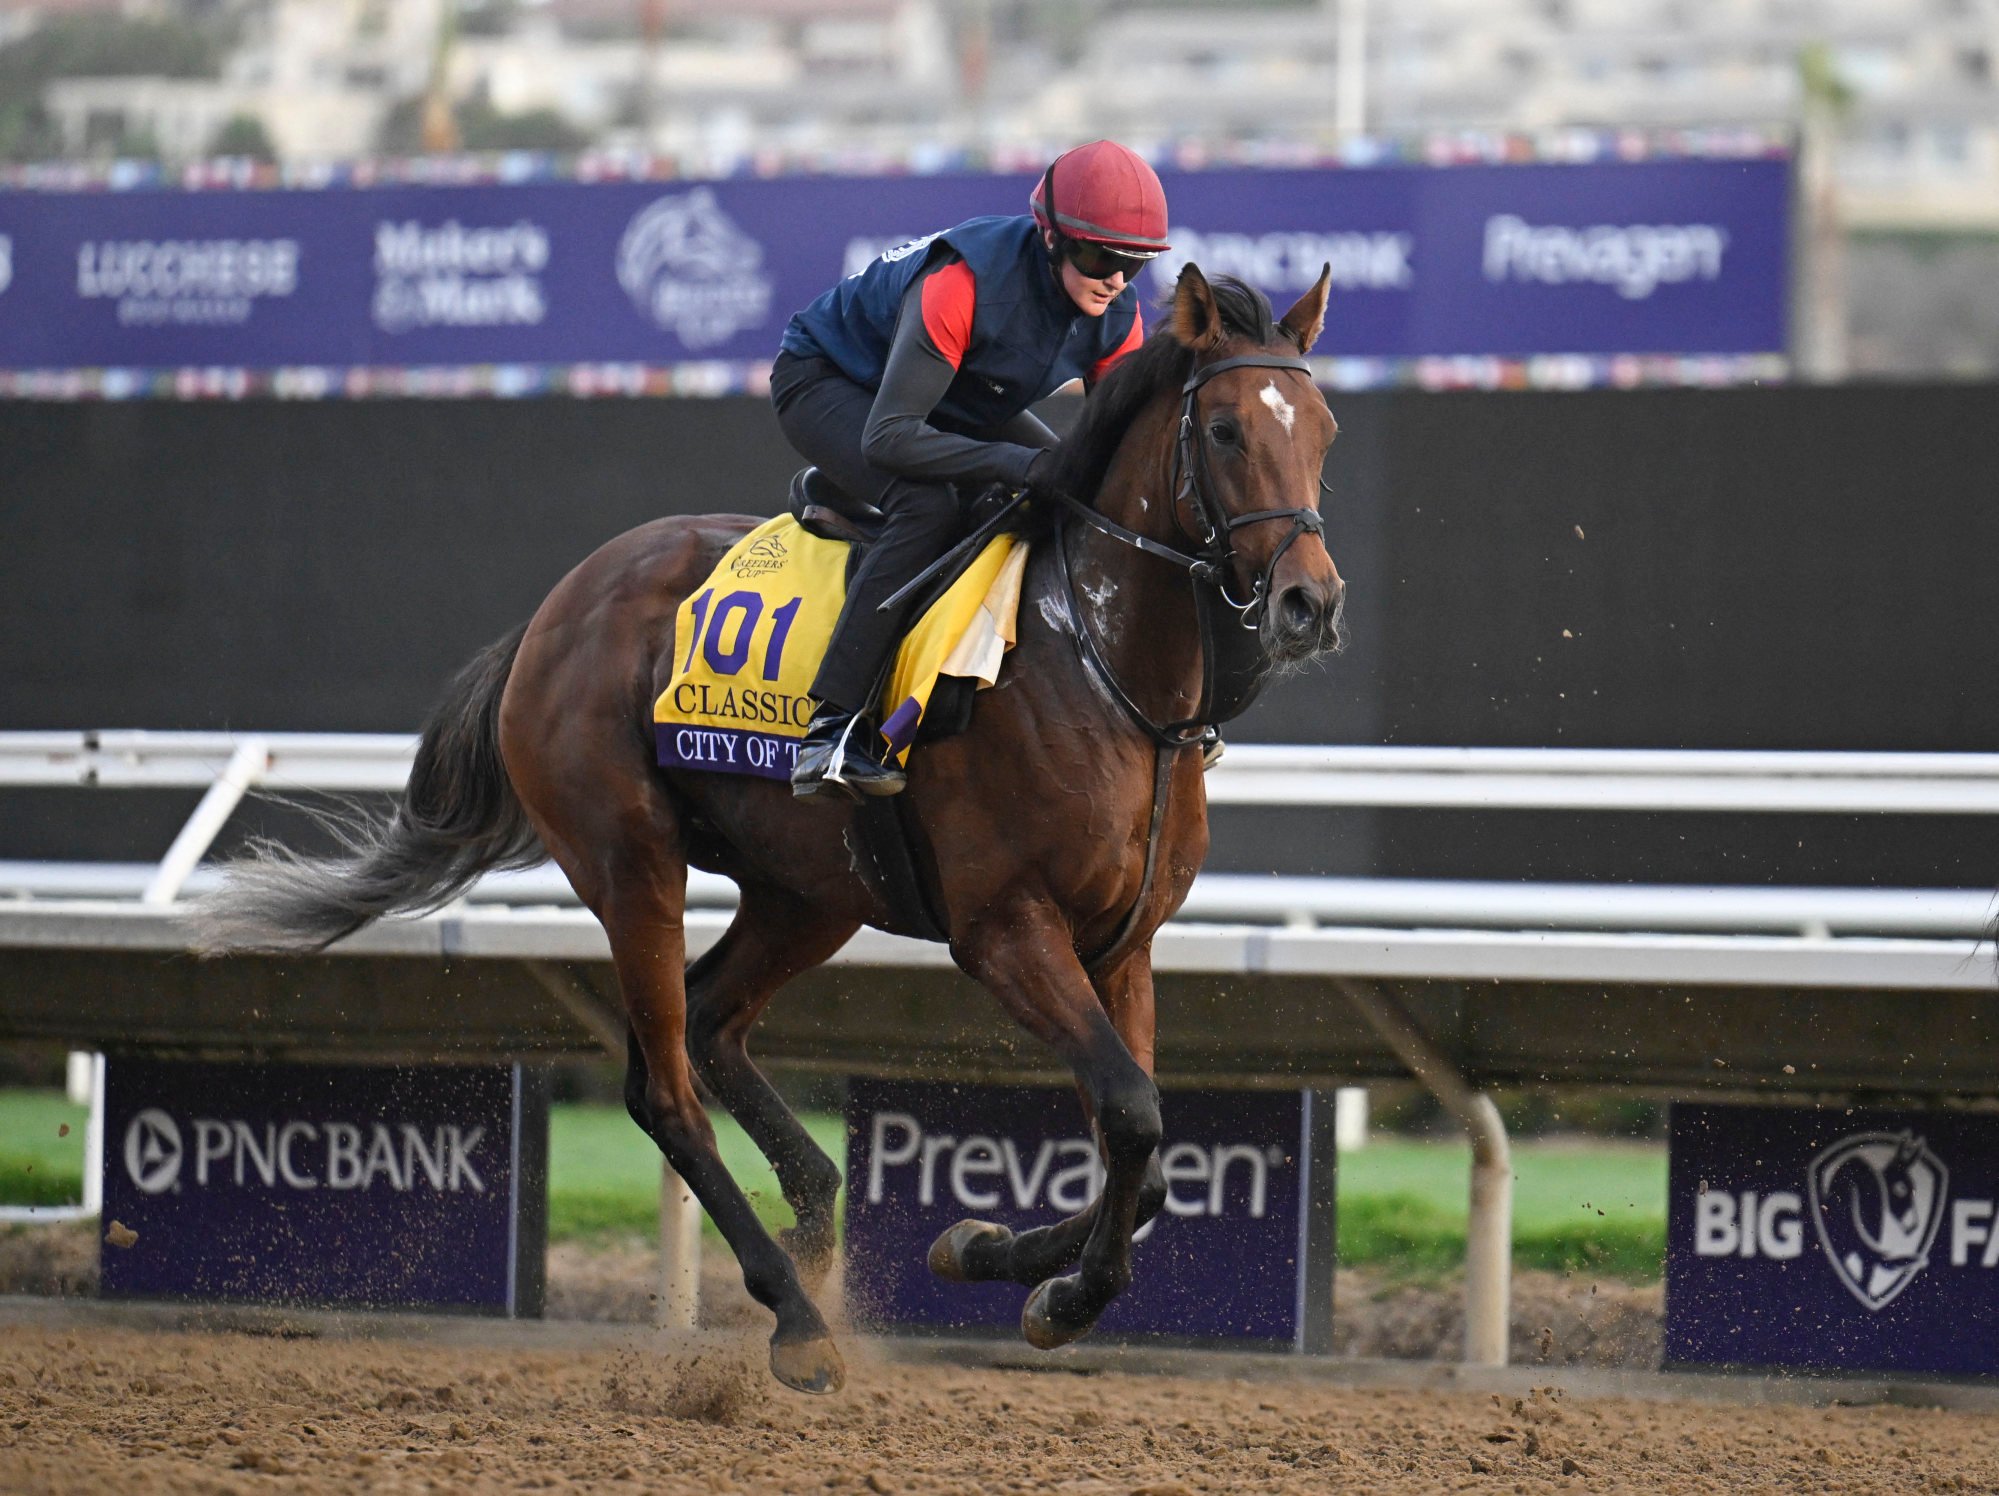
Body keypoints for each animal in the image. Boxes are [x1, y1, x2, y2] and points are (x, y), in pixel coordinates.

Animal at [194, 262, 1351, 1400]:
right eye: (1225, 432)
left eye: (1325, 430)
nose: (1309, 603)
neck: (1099, 665)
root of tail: (554, 612)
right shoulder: (1006, 929)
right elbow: (1132, 1114)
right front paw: (1054, 1293)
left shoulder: (1122, 942)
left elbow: (1138, 1147)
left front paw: (989, 1251)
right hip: (631, 860)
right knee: (663, 1085)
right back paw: (796, 1319)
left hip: (809, 891)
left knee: (710, 1019)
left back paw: (813, 1216)